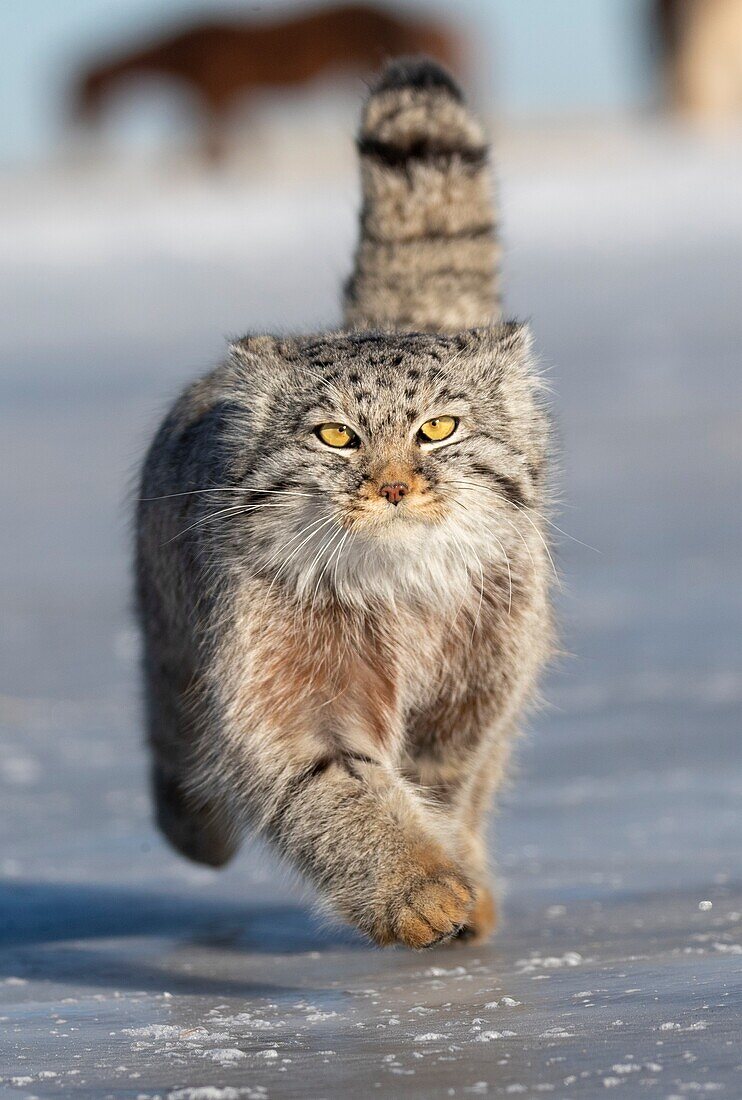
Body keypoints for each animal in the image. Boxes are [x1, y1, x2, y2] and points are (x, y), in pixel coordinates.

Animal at [136, 60, 551, 950]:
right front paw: (420, 889)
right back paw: (196, 828)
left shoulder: (477, 689)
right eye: (335, 436)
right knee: (177, 732)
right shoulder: (285, 690)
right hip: (175, 635)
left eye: (438, 428)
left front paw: (455, 877)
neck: (403, 597)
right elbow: (337, 788)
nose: (393, 486)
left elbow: (444, 784)